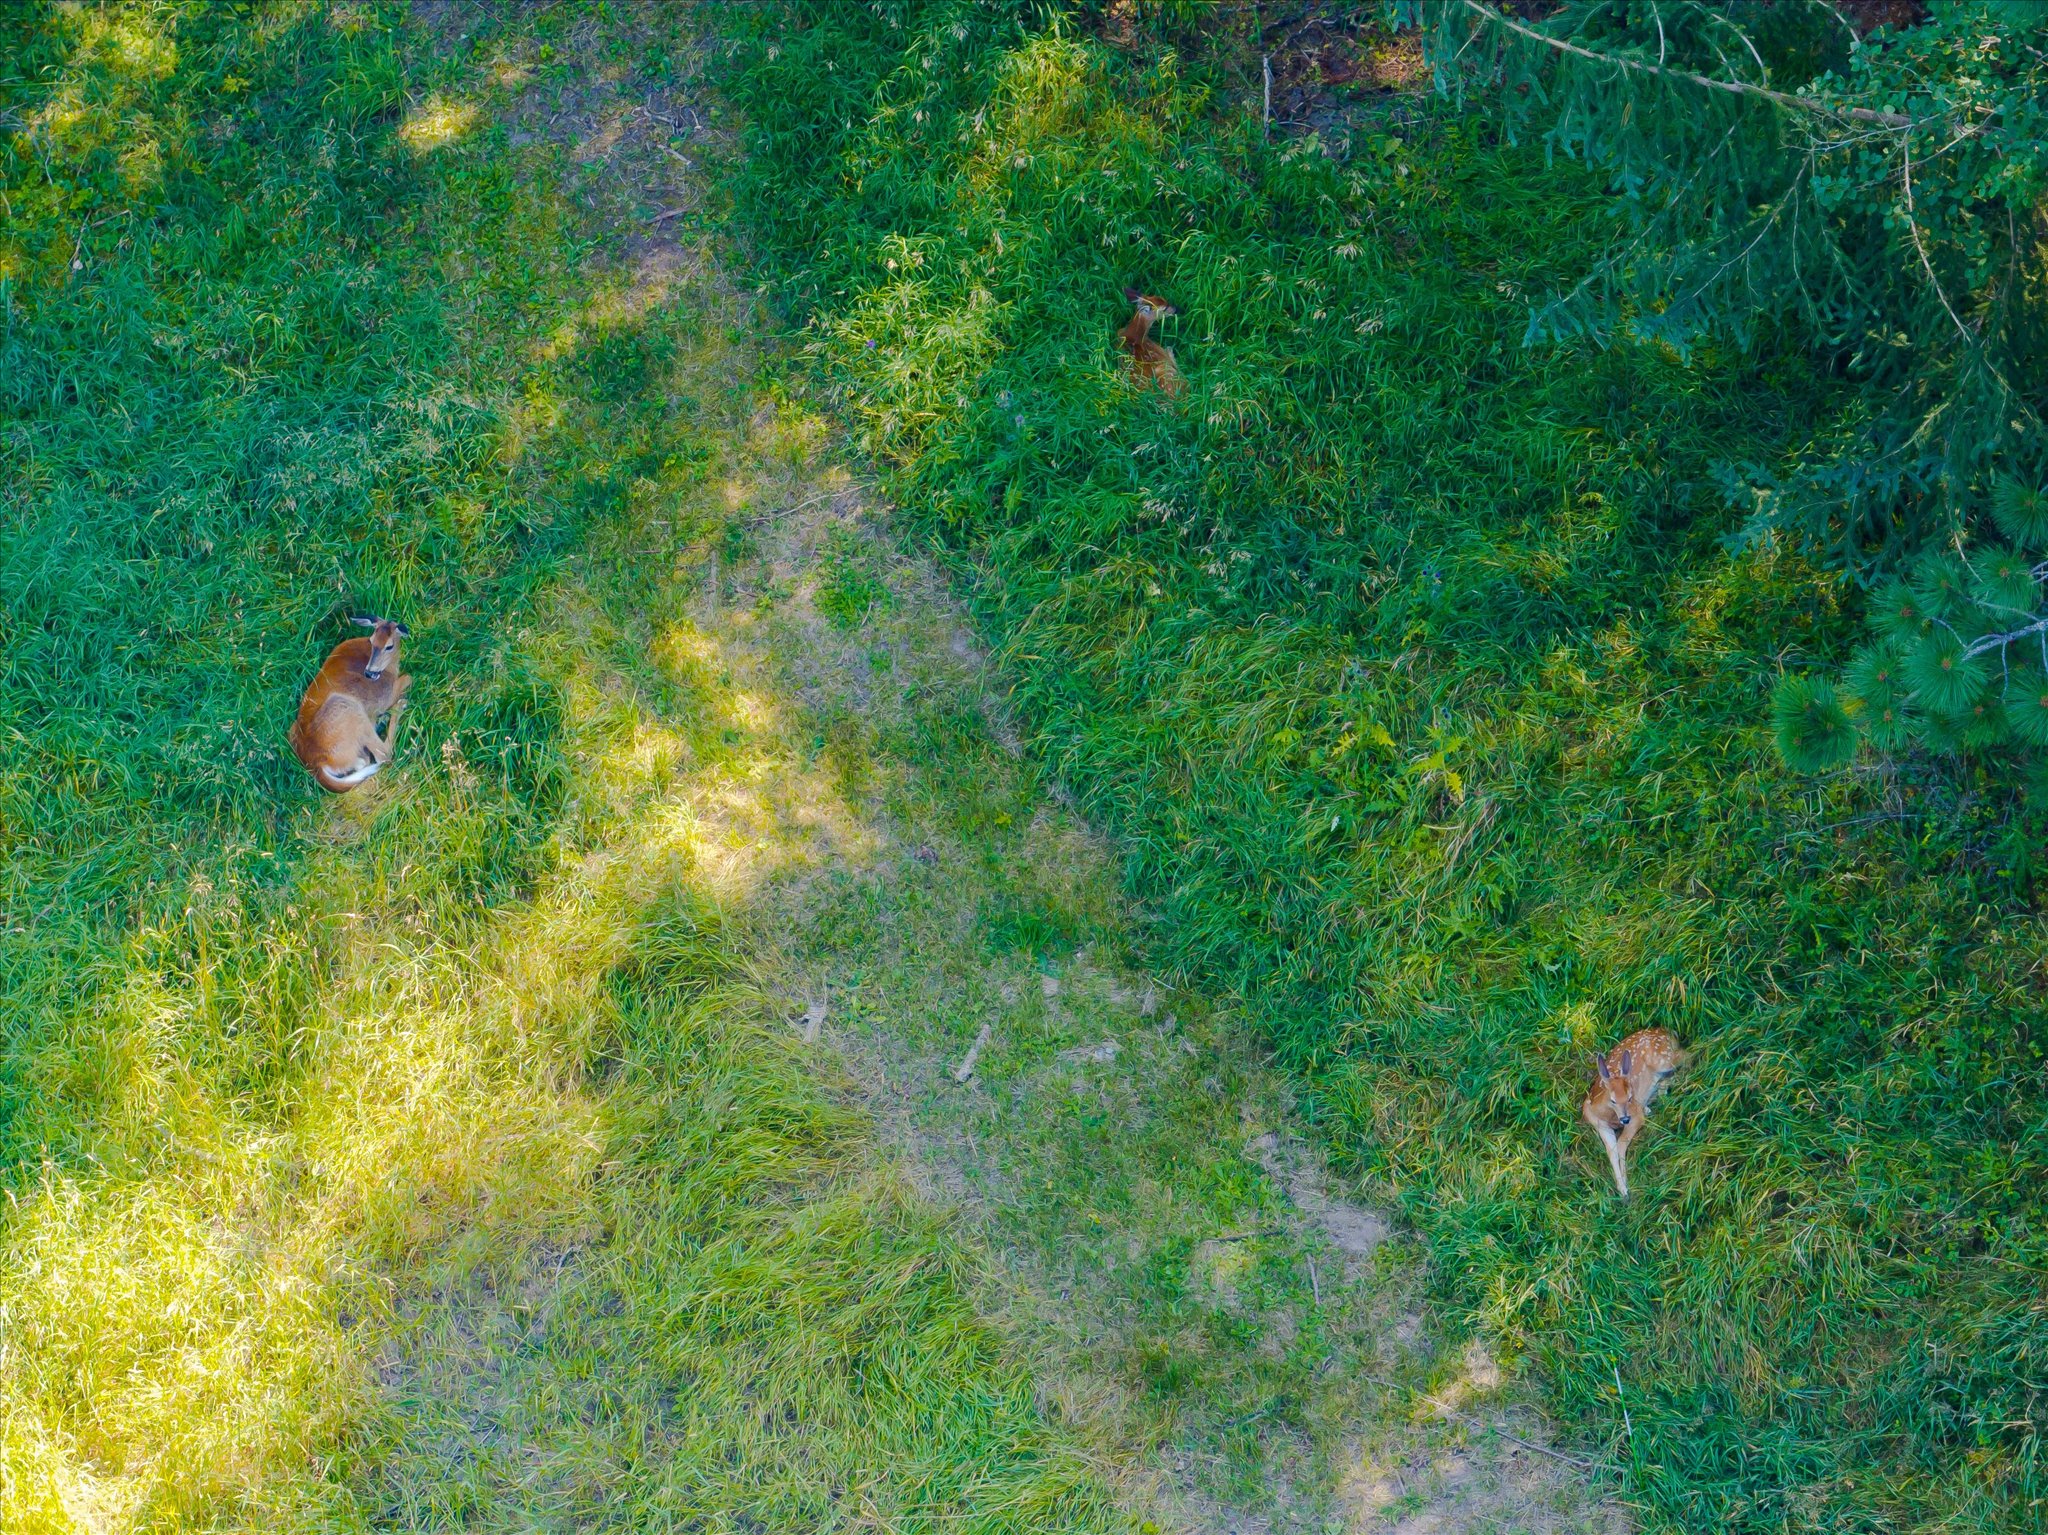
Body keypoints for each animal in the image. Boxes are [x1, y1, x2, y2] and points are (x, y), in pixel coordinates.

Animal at [288, 616, 412, 792]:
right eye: (372, 641)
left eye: (389, 646)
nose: (369, 673)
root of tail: (316, 765)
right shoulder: (384, 697)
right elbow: (408, 677)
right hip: (349, 708)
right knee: (383, 755)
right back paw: (399, 707)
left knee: (364, 760)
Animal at [1581, 1027, 1689, 1199]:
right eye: (1613, 1100)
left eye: (1630, 1097)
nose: (1625, 1118)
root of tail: (1666, 1030)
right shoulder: (1600, 1125)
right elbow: (1611, 1151)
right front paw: (1621, 1189)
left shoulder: (1636, 1116)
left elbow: (1621, 1144)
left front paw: (1625, 1186)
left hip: (1663, 1059)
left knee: (1689, 1055)